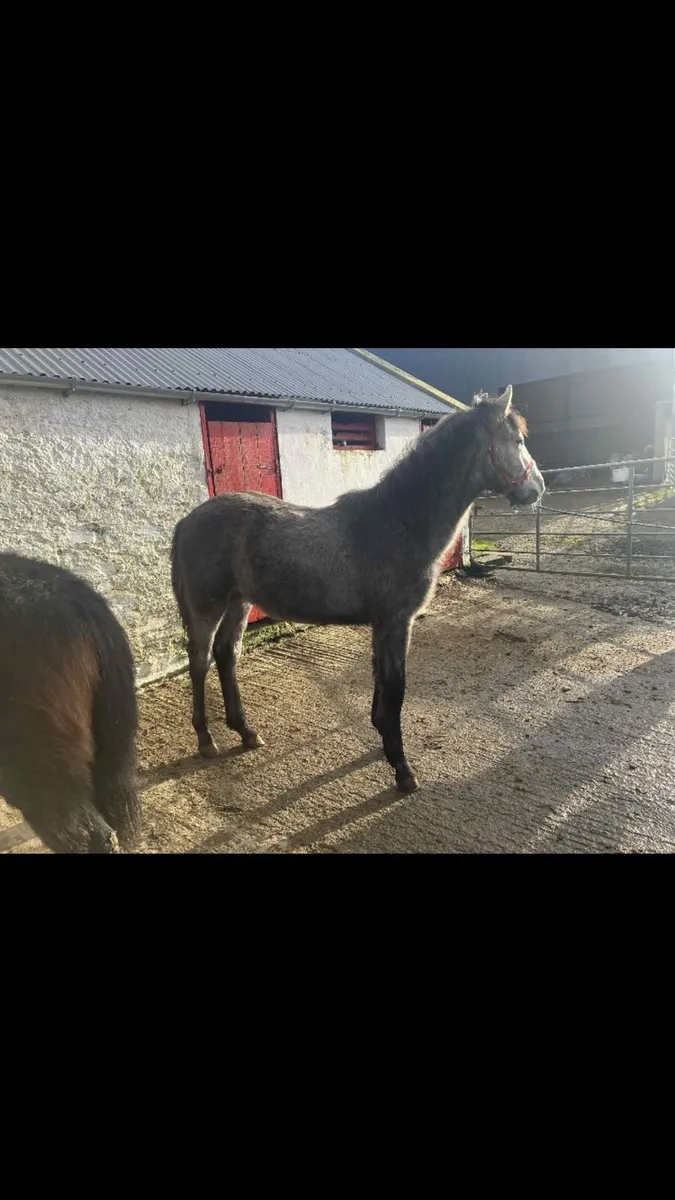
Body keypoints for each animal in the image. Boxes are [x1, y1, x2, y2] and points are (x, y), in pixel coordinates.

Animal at [171, 386, 545, 793]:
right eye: (518, 440)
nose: (538, 488)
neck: (398, 523)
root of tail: (188, 520)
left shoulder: (383, 626)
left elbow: (383, 686)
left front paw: (384, 742)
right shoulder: (395, 622)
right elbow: (396, 688)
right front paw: (402, 769)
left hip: (239, 602)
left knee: (226, 654)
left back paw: (246, 731)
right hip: (208, 607)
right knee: (199, 661)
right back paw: (206, 739)